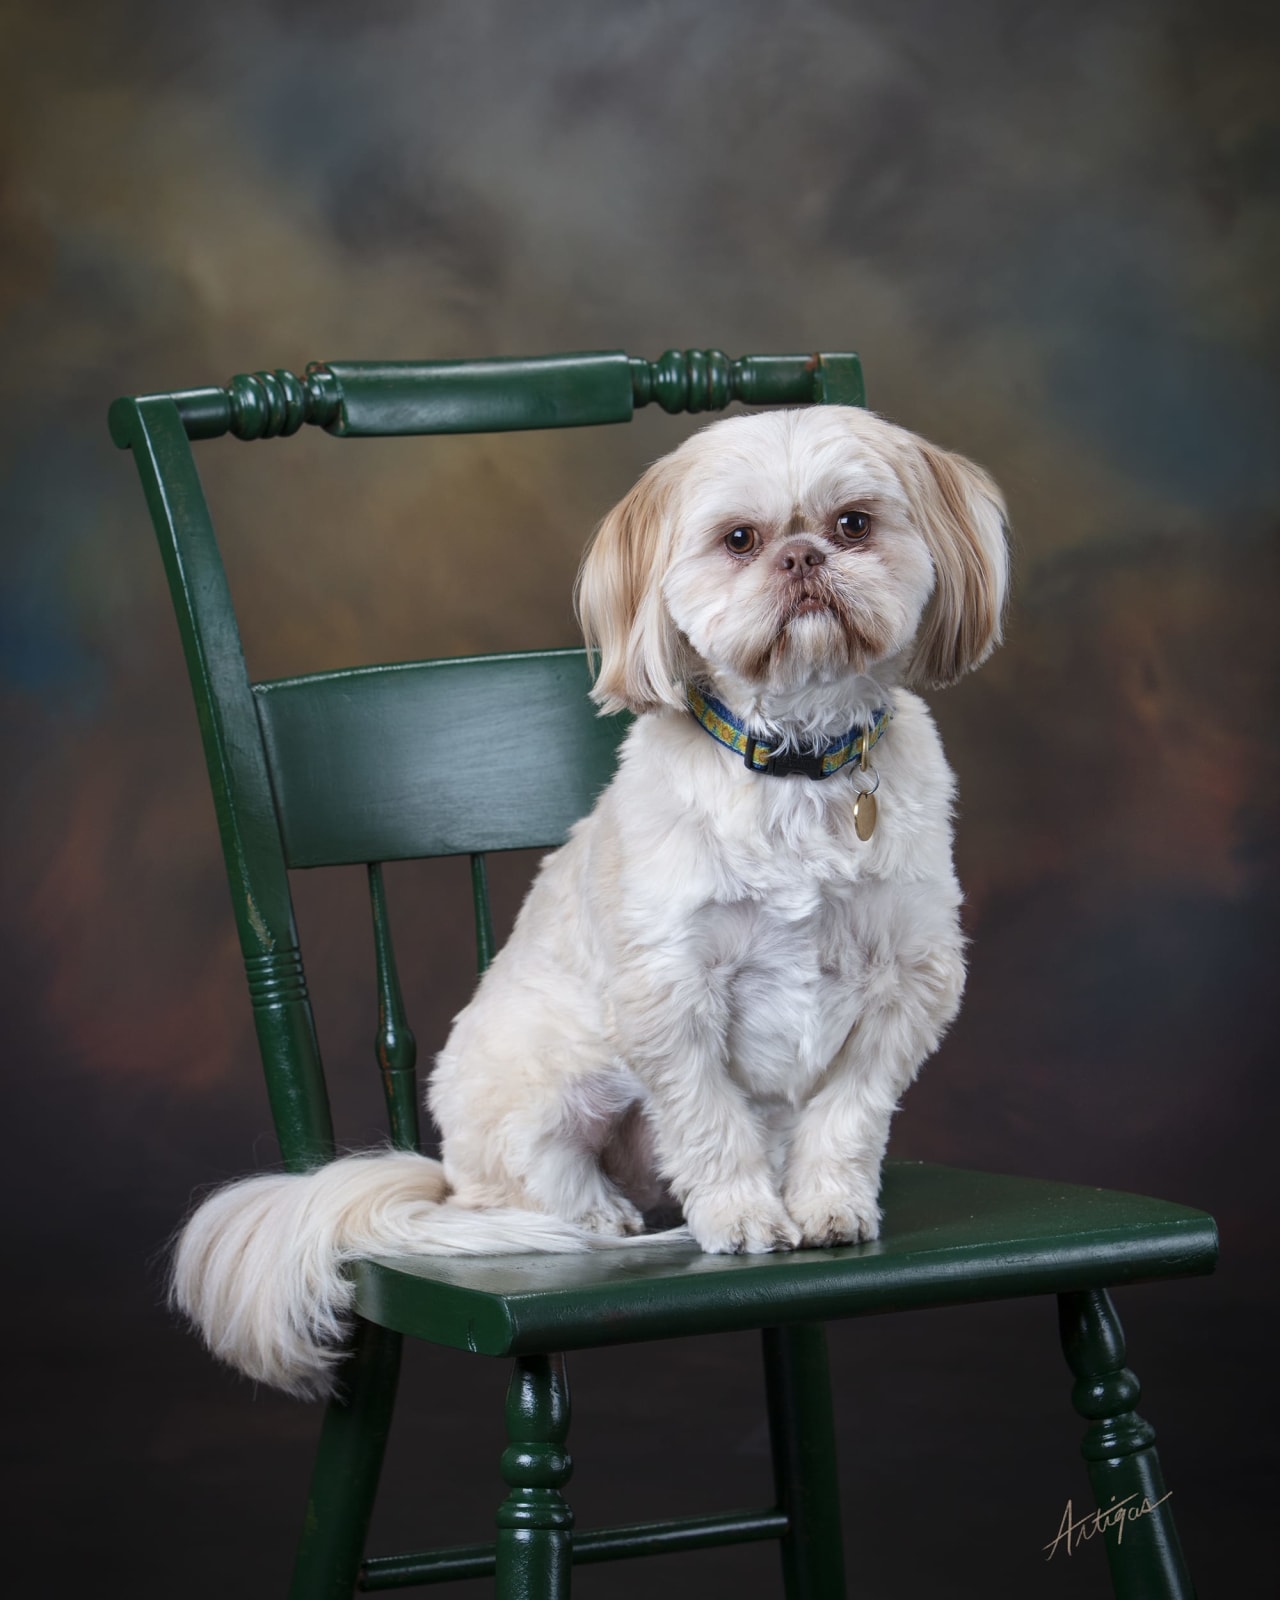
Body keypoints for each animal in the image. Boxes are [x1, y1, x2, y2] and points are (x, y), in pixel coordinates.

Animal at [169, 406, 1011, 1395]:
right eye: (739, 539)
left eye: (853, 524)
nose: (802, 557)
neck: (798, 765)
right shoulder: (668, 994)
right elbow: (708, 1120)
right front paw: (744, 1215)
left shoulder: (906, 985)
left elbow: (848, 1114)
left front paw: (827, 1204)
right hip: (540, 1076)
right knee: (524, 1179)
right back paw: (595, 1217)